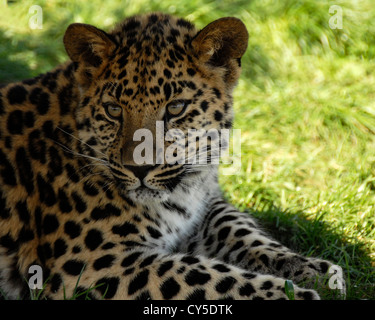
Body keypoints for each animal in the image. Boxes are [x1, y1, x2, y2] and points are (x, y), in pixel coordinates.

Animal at [0, 10, 346, 300]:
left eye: (176, 108)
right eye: (114, 110)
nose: (139, 170)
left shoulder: (205, 207)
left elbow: (242, 229)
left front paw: (311, 269)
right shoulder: (92, 262)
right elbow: (204, 274)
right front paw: (291, 295)